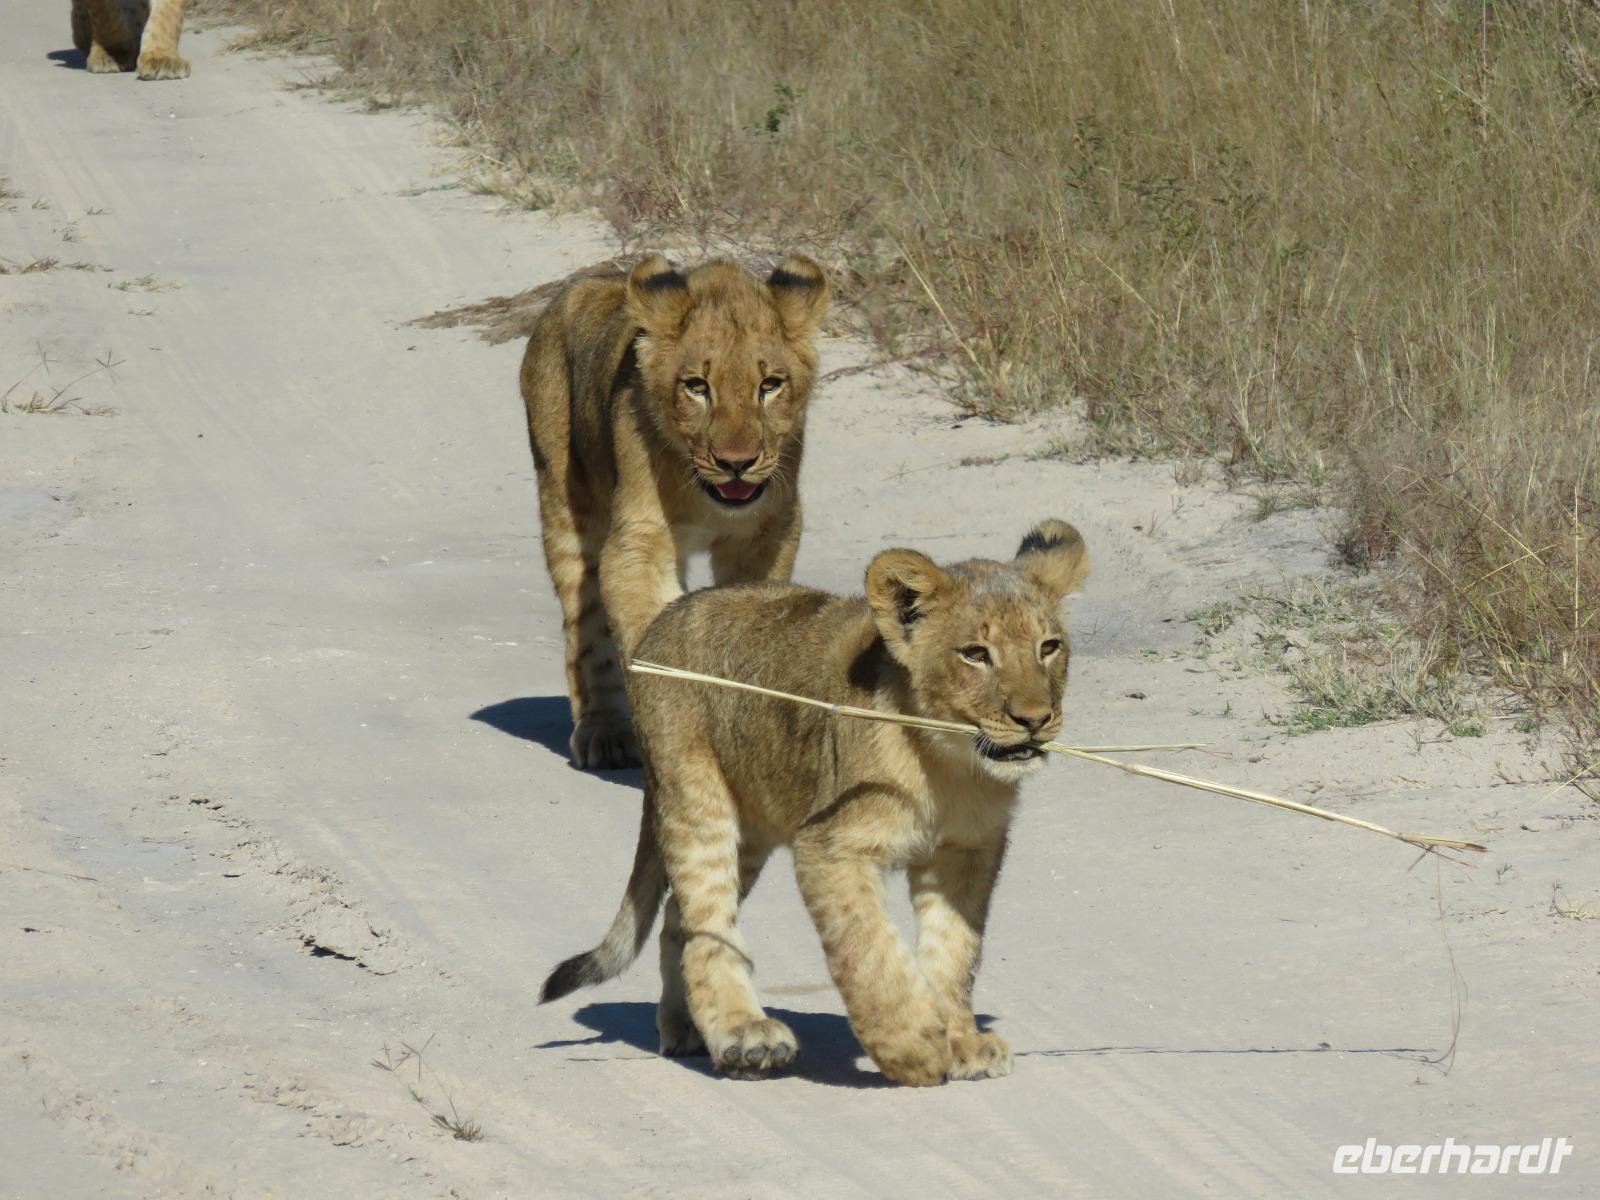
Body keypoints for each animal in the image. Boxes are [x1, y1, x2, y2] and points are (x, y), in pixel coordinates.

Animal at [521, 253, 828, 769]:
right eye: (697, 387)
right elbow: (648, 638)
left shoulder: (766, 534)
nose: (737, 463)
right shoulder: (639, 540)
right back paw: (604, 733)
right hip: (564, 504)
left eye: (769, 385)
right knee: (585, 627)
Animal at [539, 520, 1091, 1085]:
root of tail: (665, 616)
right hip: (695, 799)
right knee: (707, 920)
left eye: (1049, 647)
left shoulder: (966, 852)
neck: (949, 765)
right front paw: (913, 1046)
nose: (1035, 719)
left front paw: (961, 1041)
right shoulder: (829, 845)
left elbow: (954, 951)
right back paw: (745, 1036)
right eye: (976, 654)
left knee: (679, 919)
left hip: (753, 827)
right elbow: (868, 948)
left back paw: (686, 1028)